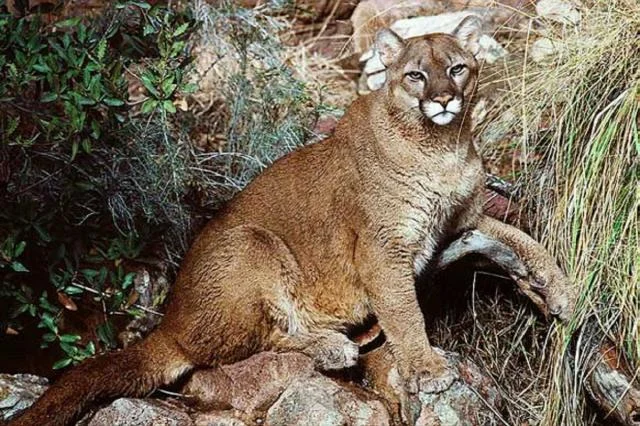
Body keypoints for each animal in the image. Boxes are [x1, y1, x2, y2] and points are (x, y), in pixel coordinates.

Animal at [8, 16, 576, 426]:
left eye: (457, 68)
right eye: (415, 74)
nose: (442, 99)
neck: (444, 148)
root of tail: (169, 321)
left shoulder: (464, 219)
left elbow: (522, 237)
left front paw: (561, 289)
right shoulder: (382, 248)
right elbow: (405, 312)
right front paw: (427, 366)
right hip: (251, 243)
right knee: (241, 348)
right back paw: (333, 345)